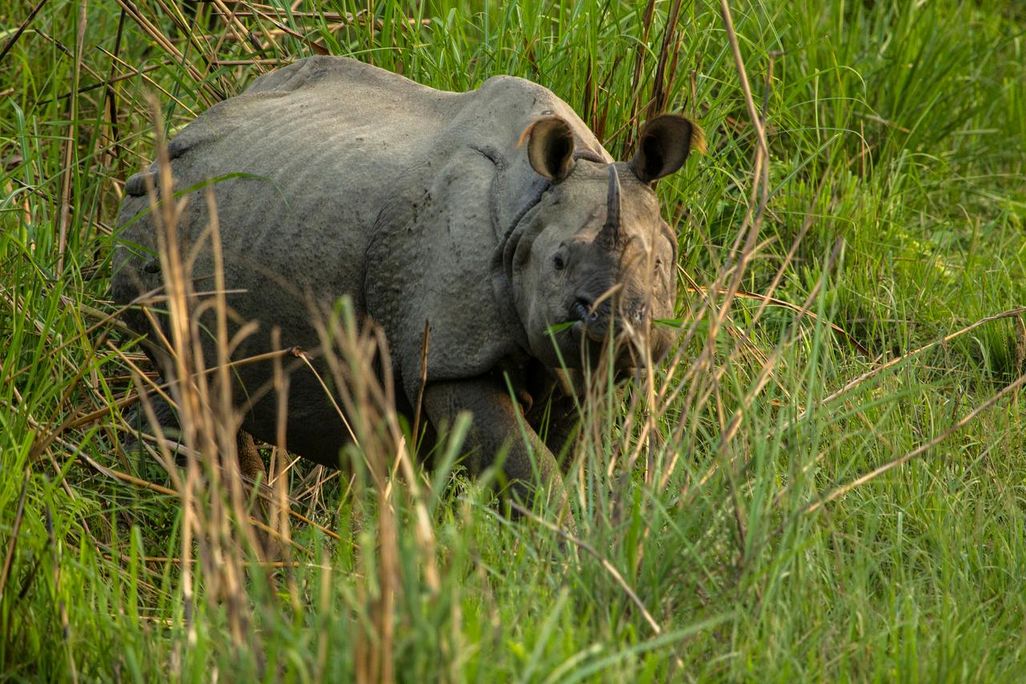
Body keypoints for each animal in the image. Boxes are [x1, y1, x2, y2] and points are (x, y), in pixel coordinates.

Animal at [112, 55, 702, 503]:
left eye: (658, 266)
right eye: (557, 262)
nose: (616, 324)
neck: (532, 210)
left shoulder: (573, 363)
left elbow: (566, 447)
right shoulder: (446, 354)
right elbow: (525, 465)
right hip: (157, 222)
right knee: (183, 378)